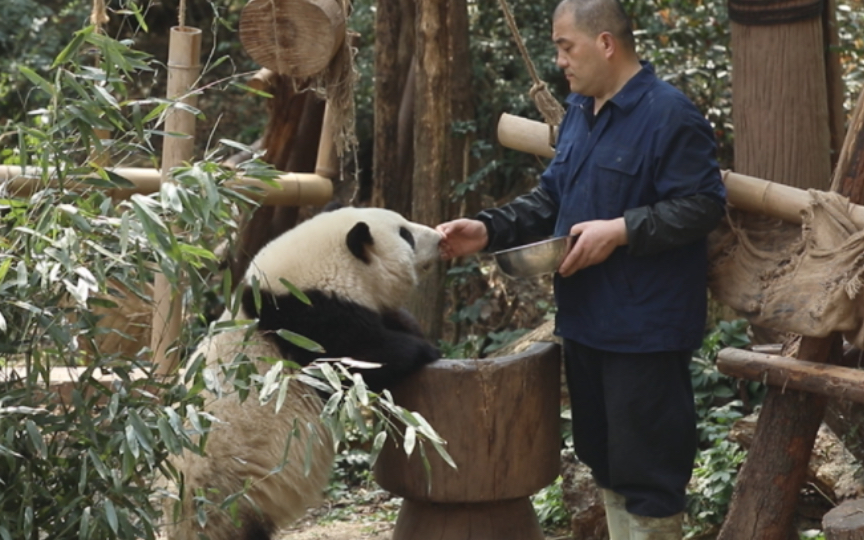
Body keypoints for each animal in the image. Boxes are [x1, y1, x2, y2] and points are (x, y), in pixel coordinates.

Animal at [165, 207, 442, 540]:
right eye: (406, 234)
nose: (440, 238)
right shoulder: (309, 324)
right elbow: (362, 362)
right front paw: (426, 350)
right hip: (225, 495)